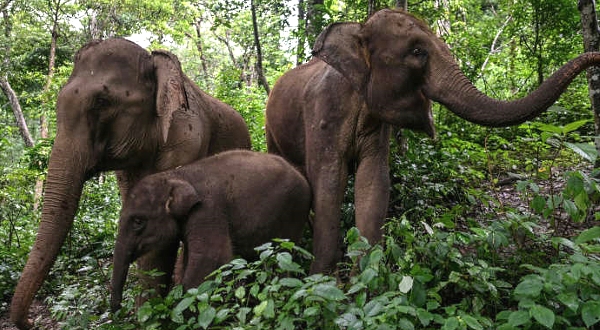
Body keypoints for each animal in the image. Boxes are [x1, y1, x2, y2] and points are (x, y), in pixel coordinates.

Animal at [109, 150, 312, 312]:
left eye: (138, 222)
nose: (117, 309)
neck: (178, 174)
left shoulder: (208, 211)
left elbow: (210, 259)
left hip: (293, 213)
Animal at [268, 9, 600, 274]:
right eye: (418, 52)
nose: (596, 55)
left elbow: (373, 182)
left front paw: (365, 282)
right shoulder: (323, 114)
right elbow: (329, 182)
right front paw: (322, 282)